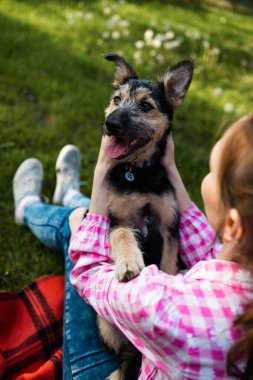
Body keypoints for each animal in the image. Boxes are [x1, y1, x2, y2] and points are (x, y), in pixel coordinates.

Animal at [97, 54, 194, 380]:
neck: (138, 173)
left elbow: (167, 264)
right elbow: (125, 235)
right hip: (104, 323)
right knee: (125, 352)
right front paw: (129, 263)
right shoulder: (117, 220)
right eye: (116, 100)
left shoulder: (169, 226)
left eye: (145, 106)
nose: (109, 124)